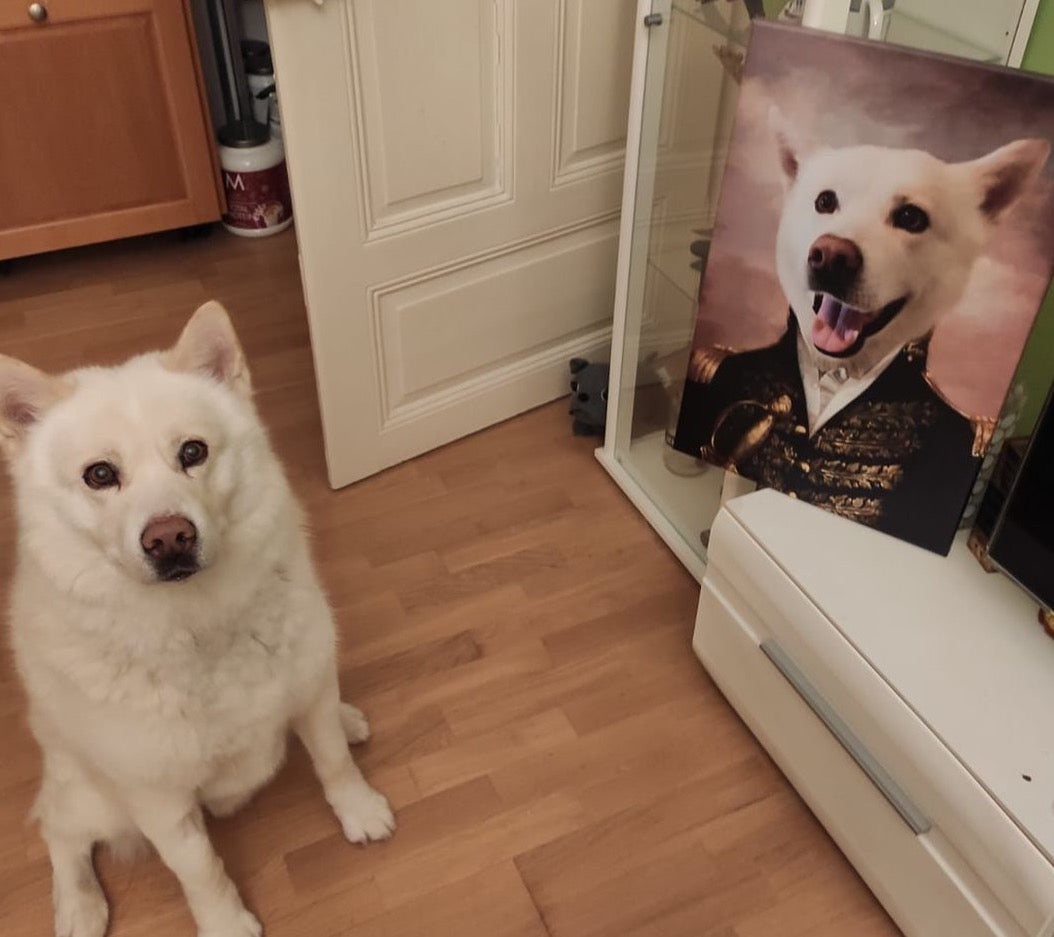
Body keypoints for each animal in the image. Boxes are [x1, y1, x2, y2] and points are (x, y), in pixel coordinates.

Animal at [0, 301, 396, 935]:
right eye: (99, 475)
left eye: (192, 452)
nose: (170, 538)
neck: (200, 626)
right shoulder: (158, 800)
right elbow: (201, 870)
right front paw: (225, 922)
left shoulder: (308, 693)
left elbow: (333, 761)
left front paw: (358, 810)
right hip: (92, 799)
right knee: (61, 835)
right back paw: (79, 906)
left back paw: (348, 715)